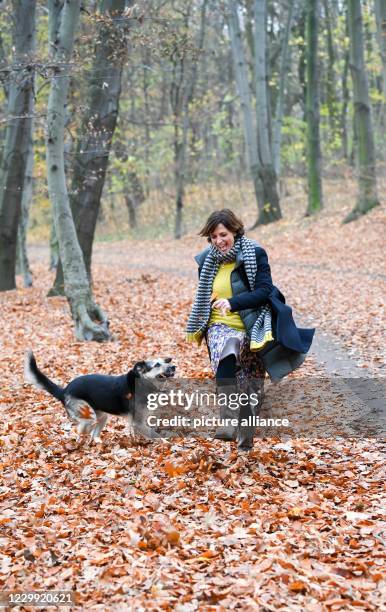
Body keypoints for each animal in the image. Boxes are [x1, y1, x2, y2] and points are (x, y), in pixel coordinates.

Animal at [24, 352, 175, 442]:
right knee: (83, 430)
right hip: (88, 416)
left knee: (94, 434)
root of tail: (64, 390)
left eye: (165, 362)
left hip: (102, 416)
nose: (173, 366)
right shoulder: (138, 422)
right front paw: (167, 443)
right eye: (157, 365)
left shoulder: (140, 421)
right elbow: (155, 435)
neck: (143, 382)